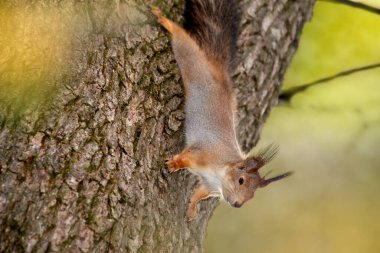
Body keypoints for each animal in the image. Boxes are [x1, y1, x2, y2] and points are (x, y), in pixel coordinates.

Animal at [151, 0, 290, 220]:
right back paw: (165, 21)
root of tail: (220, 71)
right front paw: (175, 164)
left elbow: (200, 193)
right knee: (183, 41)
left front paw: (192, 208)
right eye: (241, 180)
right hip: (193, 64)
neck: (220, 173)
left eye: (252, 195)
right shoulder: (202, 152)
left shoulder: (210, 186)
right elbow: (186, 157)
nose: (237, 204)